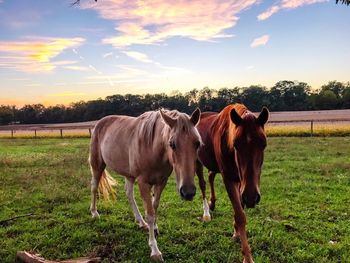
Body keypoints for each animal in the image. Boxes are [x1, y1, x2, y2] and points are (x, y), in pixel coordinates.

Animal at [89, 108, 201, 262]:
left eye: (197, 143)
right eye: (172, 144)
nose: (188, 192)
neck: (152, 148)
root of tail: (99, 123)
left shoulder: (161, 182)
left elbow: (154, 206)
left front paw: (154, 228)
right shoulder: (143, 183)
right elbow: (150, 214)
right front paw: (154, 250)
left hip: (129, 175)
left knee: (129, 194)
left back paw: (141, 222)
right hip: (97, 165)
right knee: (94, 187)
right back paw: (94, 213)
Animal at [197, 104, 268, 263]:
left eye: (264, 144)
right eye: (236, 144)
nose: (252, 197)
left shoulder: (241, 183)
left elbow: (240, 208)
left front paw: (236, 233)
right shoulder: (229, 179)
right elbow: (240, 215)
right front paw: (247, 257)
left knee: (210, 176)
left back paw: (212, 203)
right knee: (202, 183)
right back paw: (206, 213)